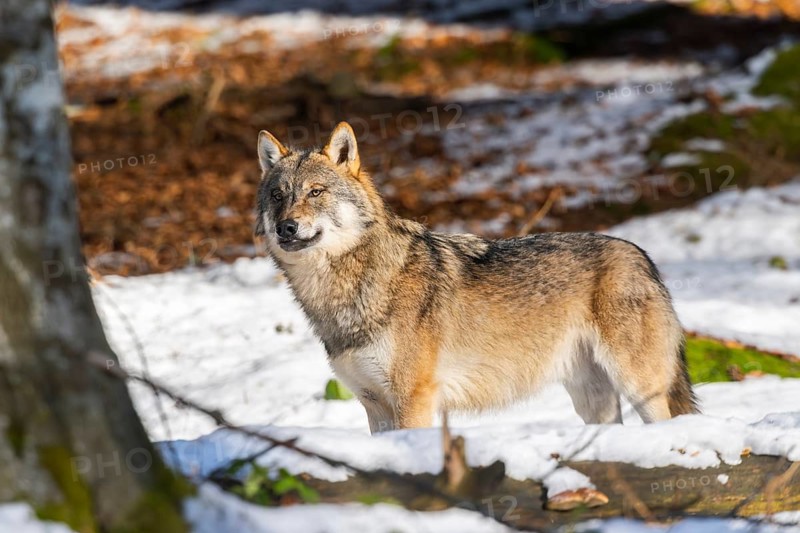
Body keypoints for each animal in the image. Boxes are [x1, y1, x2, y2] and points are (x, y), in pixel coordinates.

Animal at [254, 122, 699, 433]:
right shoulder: (373, 403)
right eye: (278, 195)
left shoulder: (414, 400)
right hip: (592, 400)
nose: (286, 227)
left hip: (641, 386)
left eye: (316, 192)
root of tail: (641, 254)